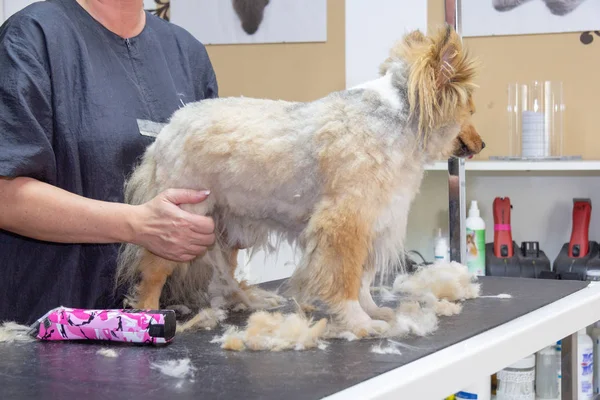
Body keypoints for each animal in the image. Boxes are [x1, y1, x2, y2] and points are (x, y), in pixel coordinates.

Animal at [115, 25, 486, 336]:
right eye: (469, 111)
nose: (482, 144)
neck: (396, 120)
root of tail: (167, 130)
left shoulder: (372, 221)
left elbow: (363, 280)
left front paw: (374, 311)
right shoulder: (344, 223)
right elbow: (346, 279)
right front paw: (359, 322)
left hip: (224, 229)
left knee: (225, 276)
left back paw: (249, 301)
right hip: (180, 222)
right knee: (153, 274)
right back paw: (149, 313)